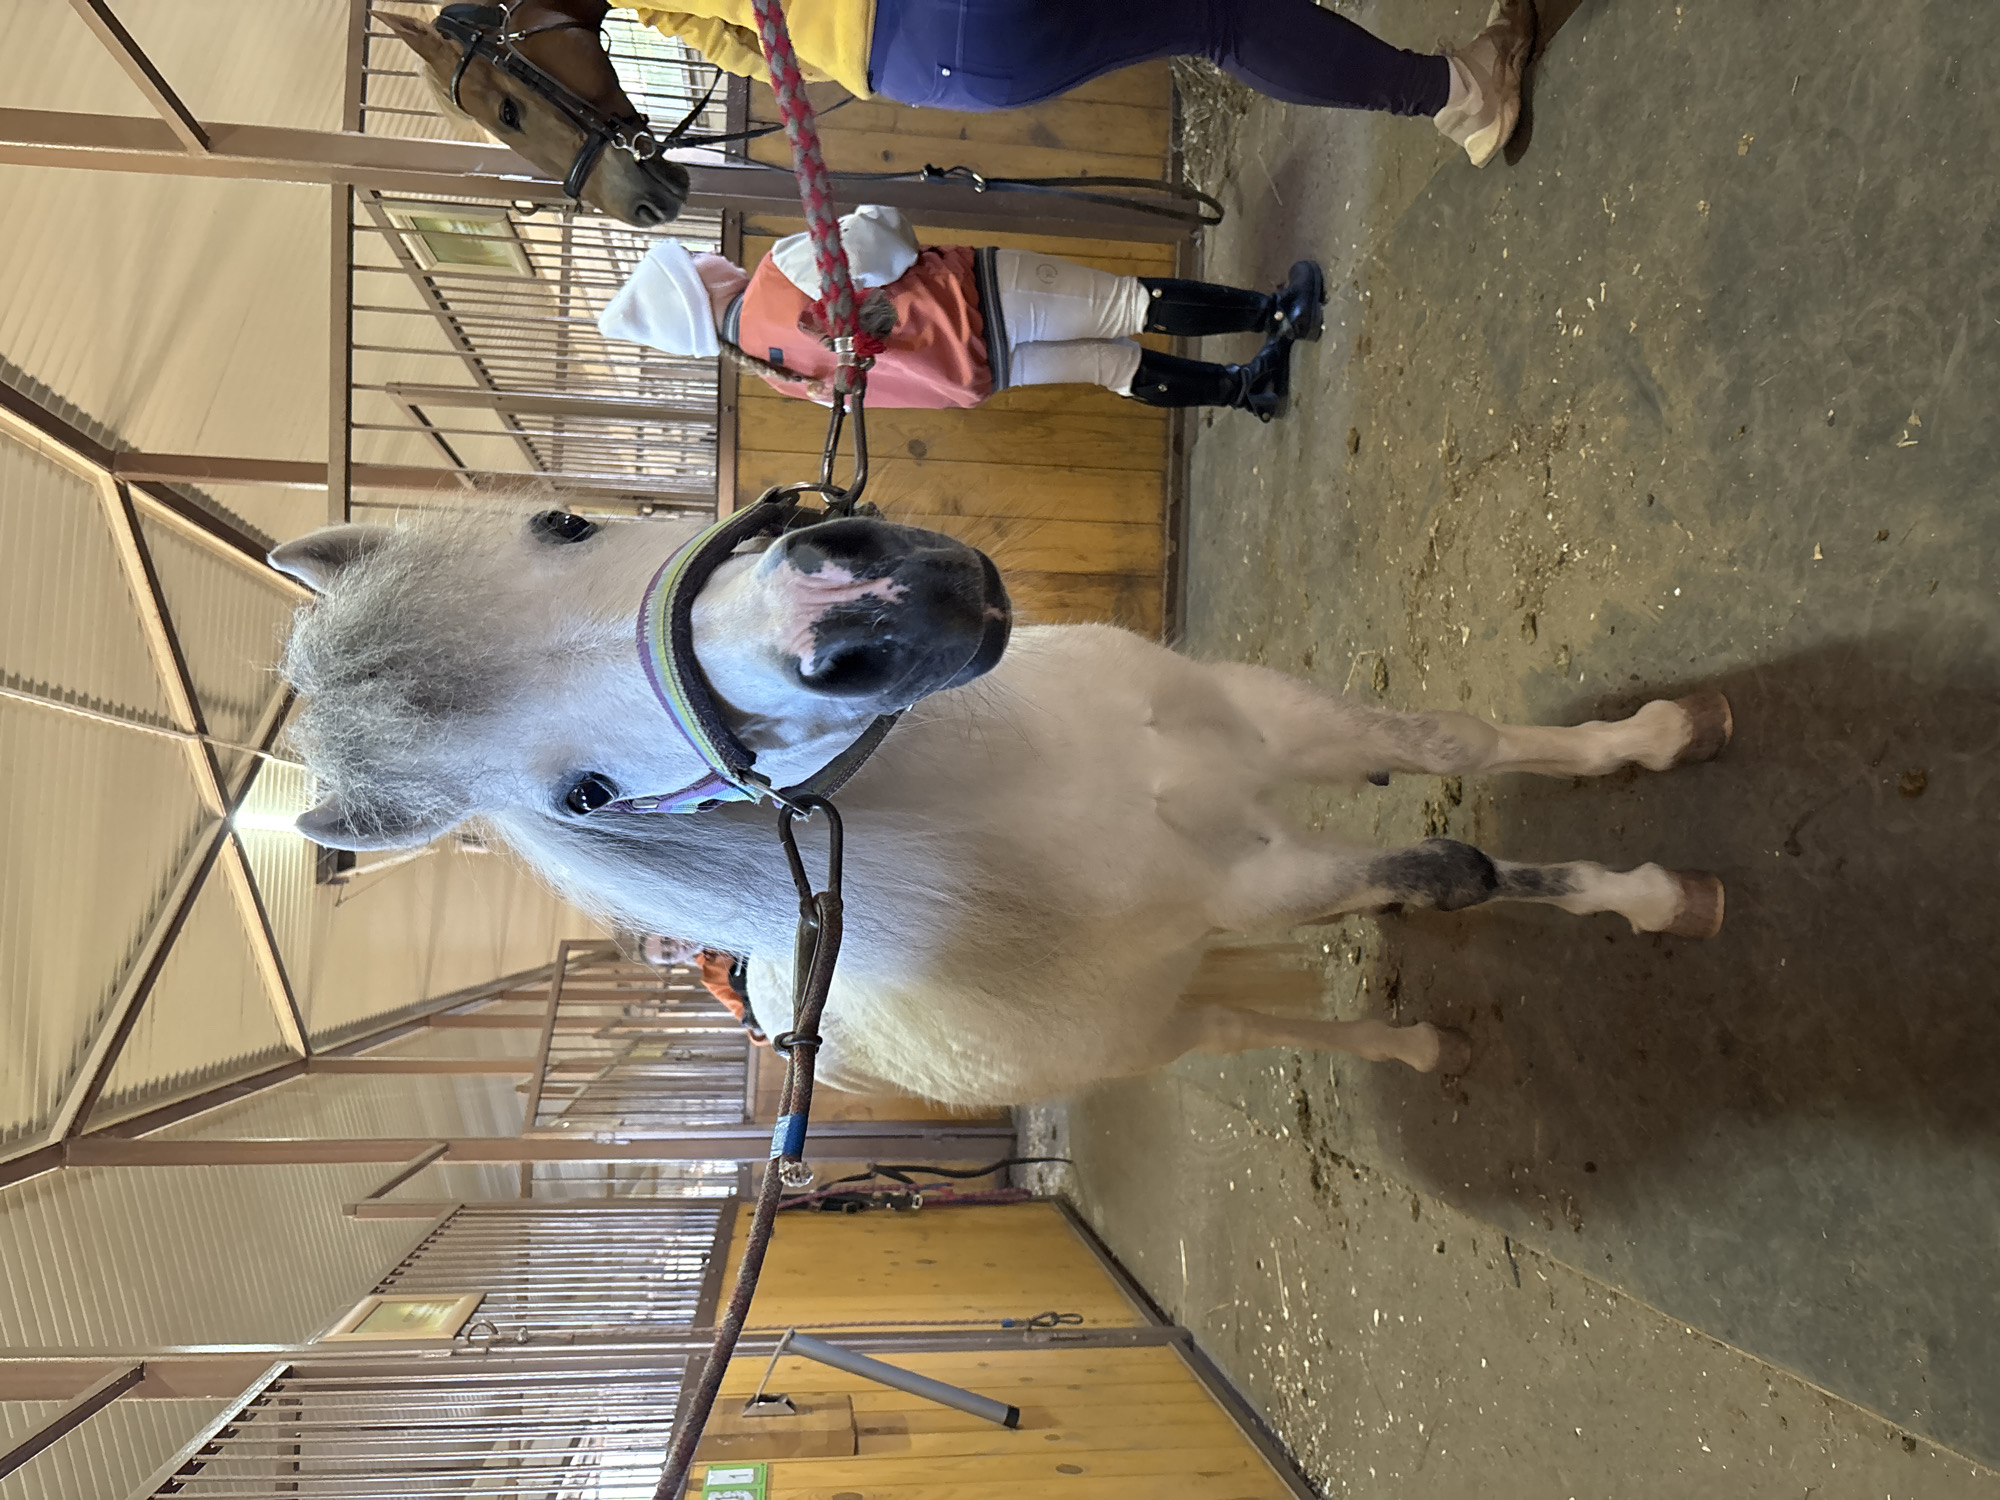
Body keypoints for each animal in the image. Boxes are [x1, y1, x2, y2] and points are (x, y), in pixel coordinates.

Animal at [270, 507, 1731, 1106]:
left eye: (563, 522)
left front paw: (1654, 742)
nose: (864, 602)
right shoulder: (1253, 875)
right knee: (1243, 1028)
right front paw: (1666, 899)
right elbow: (1456, 869)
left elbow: (1456, 739)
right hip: (1162, 1019)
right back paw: (1414, 1052)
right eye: (584, 793)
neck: (1054, 783)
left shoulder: (1275, 721)